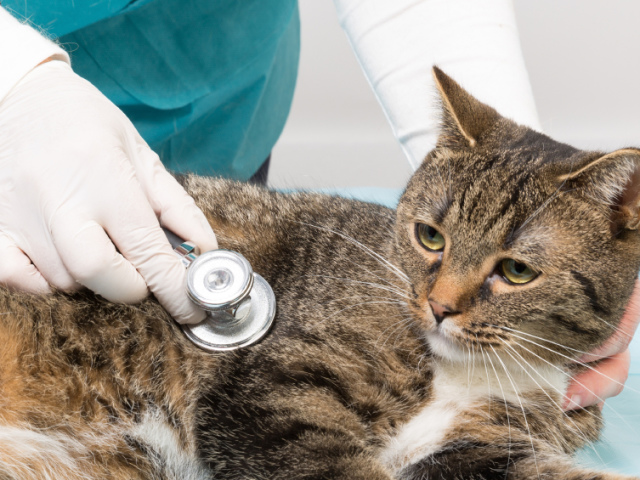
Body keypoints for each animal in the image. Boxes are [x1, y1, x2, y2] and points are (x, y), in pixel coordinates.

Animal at [1, 68, 640, 480]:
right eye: (430, 237)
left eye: (516, 270)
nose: (439, 306)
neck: (464, 371)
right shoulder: (275, 396)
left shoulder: (476, 450)